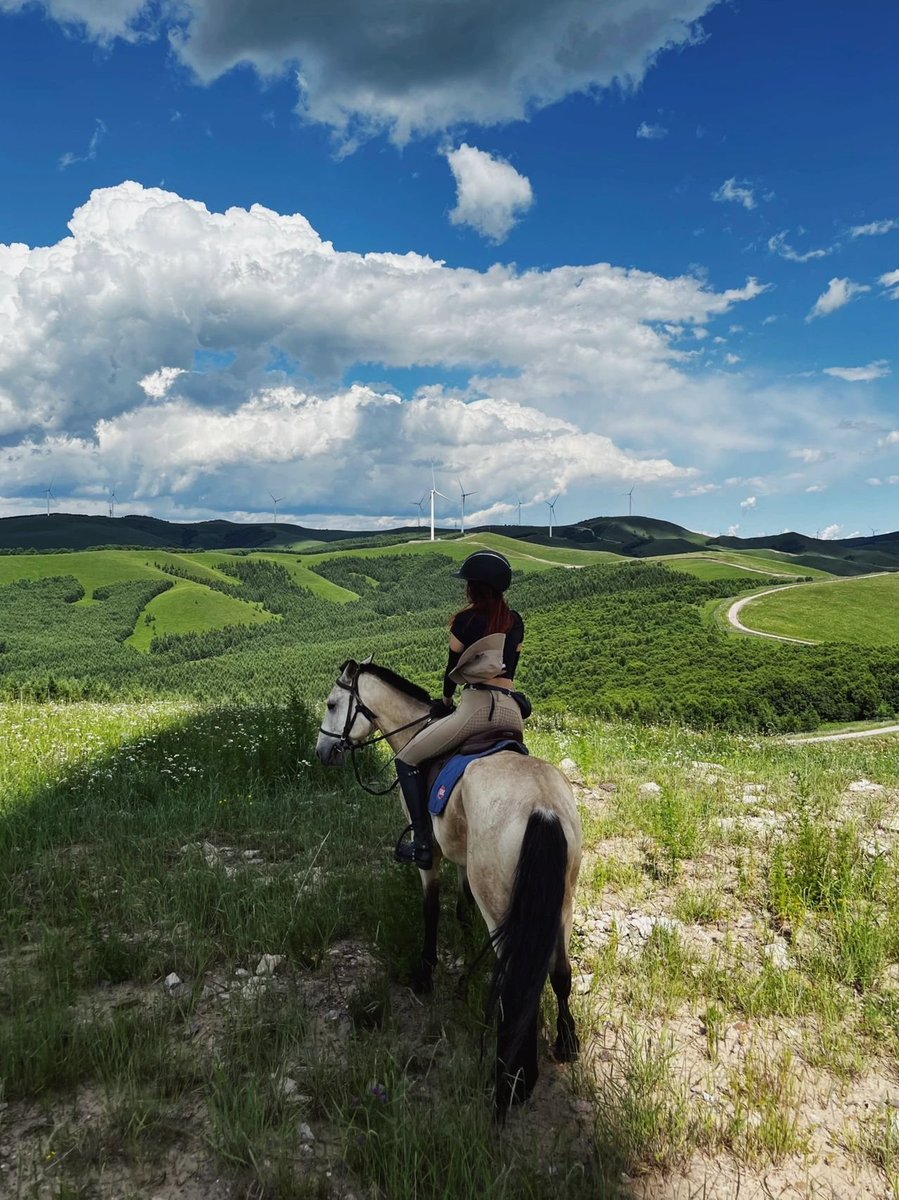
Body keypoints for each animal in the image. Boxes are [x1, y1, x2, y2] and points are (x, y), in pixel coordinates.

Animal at [314, 662, 583, 1108]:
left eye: (334, 704)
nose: (323, 752)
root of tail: (542, 806)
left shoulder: (434, 857)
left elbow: (431, 908)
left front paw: (425, 973)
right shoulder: (461, 859)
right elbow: (460, 911)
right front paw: (460, 975)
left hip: (502, 906)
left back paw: (512, 1072)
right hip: (561, 903)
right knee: (560, 971)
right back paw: (566, 1041)